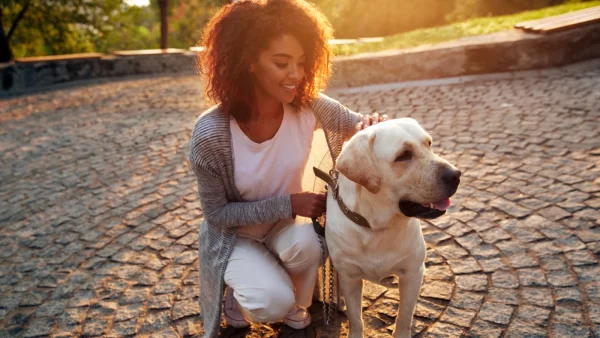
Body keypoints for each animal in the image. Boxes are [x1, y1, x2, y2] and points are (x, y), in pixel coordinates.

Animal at [324, 117, 460, 336]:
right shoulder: (350, 276)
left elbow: (404, 317)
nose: (456, 174)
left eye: (429, 144)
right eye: (403, 155)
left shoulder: (413, 272)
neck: (377, 226)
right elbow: (356, 319)